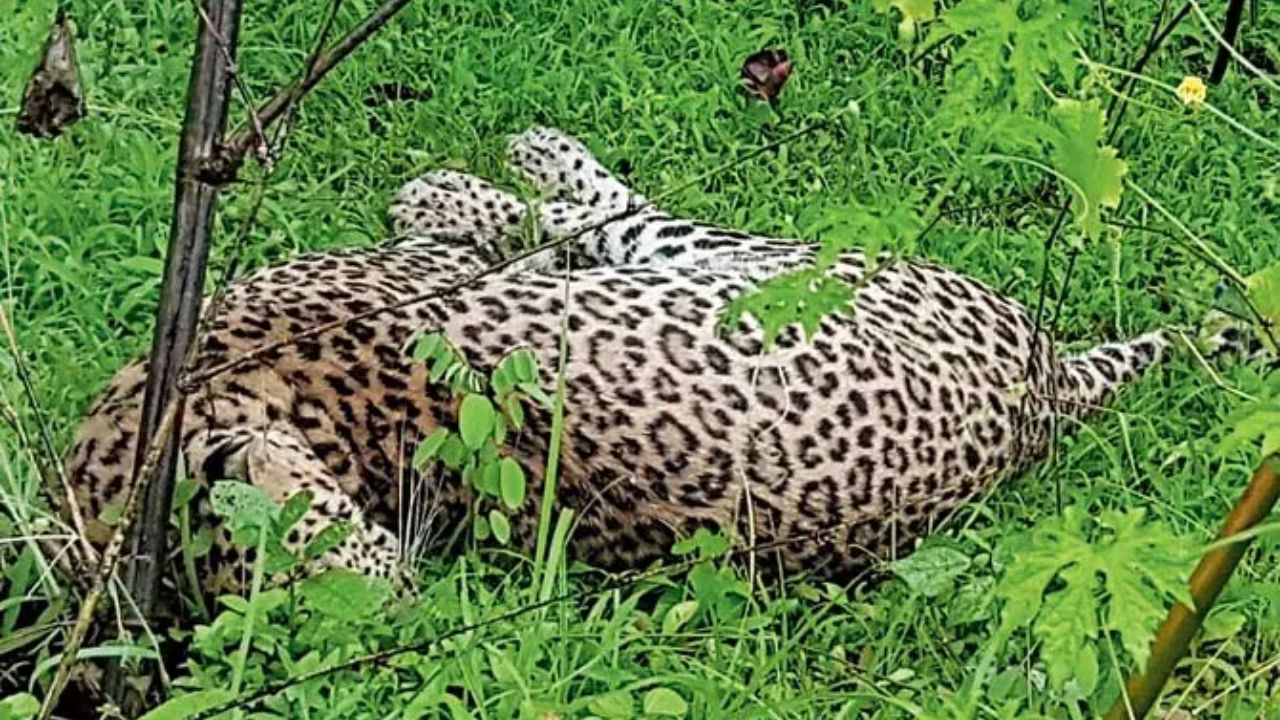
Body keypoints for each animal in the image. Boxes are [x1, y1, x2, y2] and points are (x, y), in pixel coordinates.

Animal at [64, 126, 1190, 593]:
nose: (405, 592)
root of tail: (1046, 392)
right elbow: (534, 240)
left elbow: (523, 240)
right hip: (772, 268)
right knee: (614, 219)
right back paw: (515, 163)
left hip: (769, 264)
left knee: (605, 217)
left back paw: (507, 159)